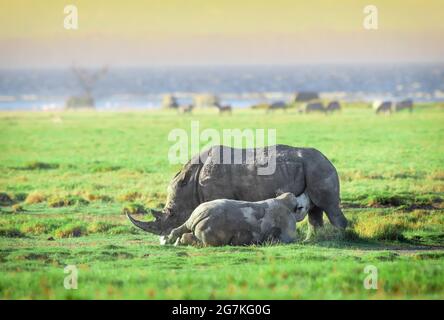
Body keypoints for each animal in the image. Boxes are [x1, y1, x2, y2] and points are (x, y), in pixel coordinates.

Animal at [126, 145, 348, 238]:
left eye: (171, 214)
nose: (162, 235)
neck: (188, 183)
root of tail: (327, 158)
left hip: (319, 167)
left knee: (328, 206)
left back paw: (340, 238)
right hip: (314, 167)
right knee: (315, 209)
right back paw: (315, 239)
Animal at [162, 191, 312, 246]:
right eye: (303, 207)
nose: (307, 194)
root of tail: (201, 215)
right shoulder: (287, 233)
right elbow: (294, 239)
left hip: (197, 212)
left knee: (185, 225)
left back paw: (169, 240)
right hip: (212, 226)